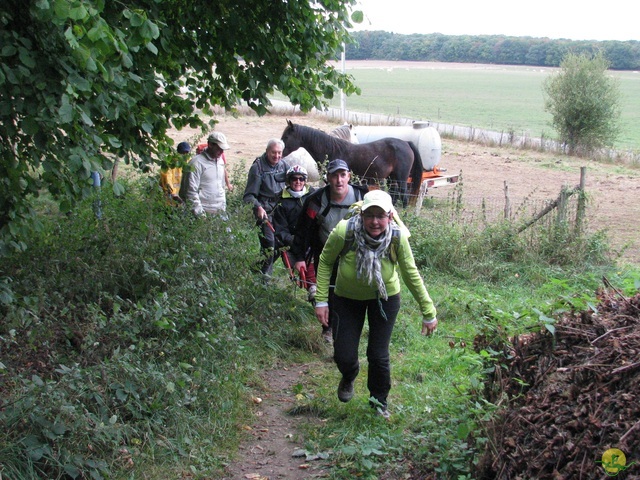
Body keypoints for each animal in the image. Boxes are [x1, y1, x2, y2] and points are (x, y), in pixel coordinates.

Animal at [282, 120, 424, 206]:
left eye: (286, 137)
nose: (280, 152)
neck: (333, 150)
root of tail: (406, 143)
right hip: (391, 178)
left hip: (401, 179)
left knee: (404, 197)